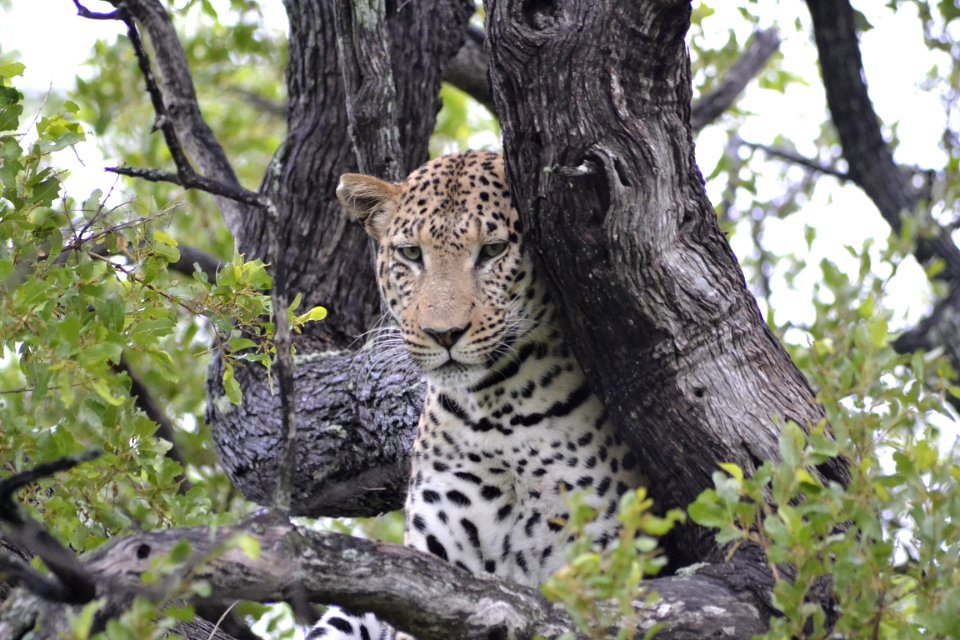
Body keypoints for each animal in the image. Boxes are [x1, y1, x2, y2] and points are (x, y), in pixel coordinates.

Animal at [308, 151, 644, 640]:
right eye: (411, 254)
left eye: (493, 251)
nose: (443, 333)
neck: (500, 412)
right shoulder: (436, 565)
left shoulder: (595, 560)